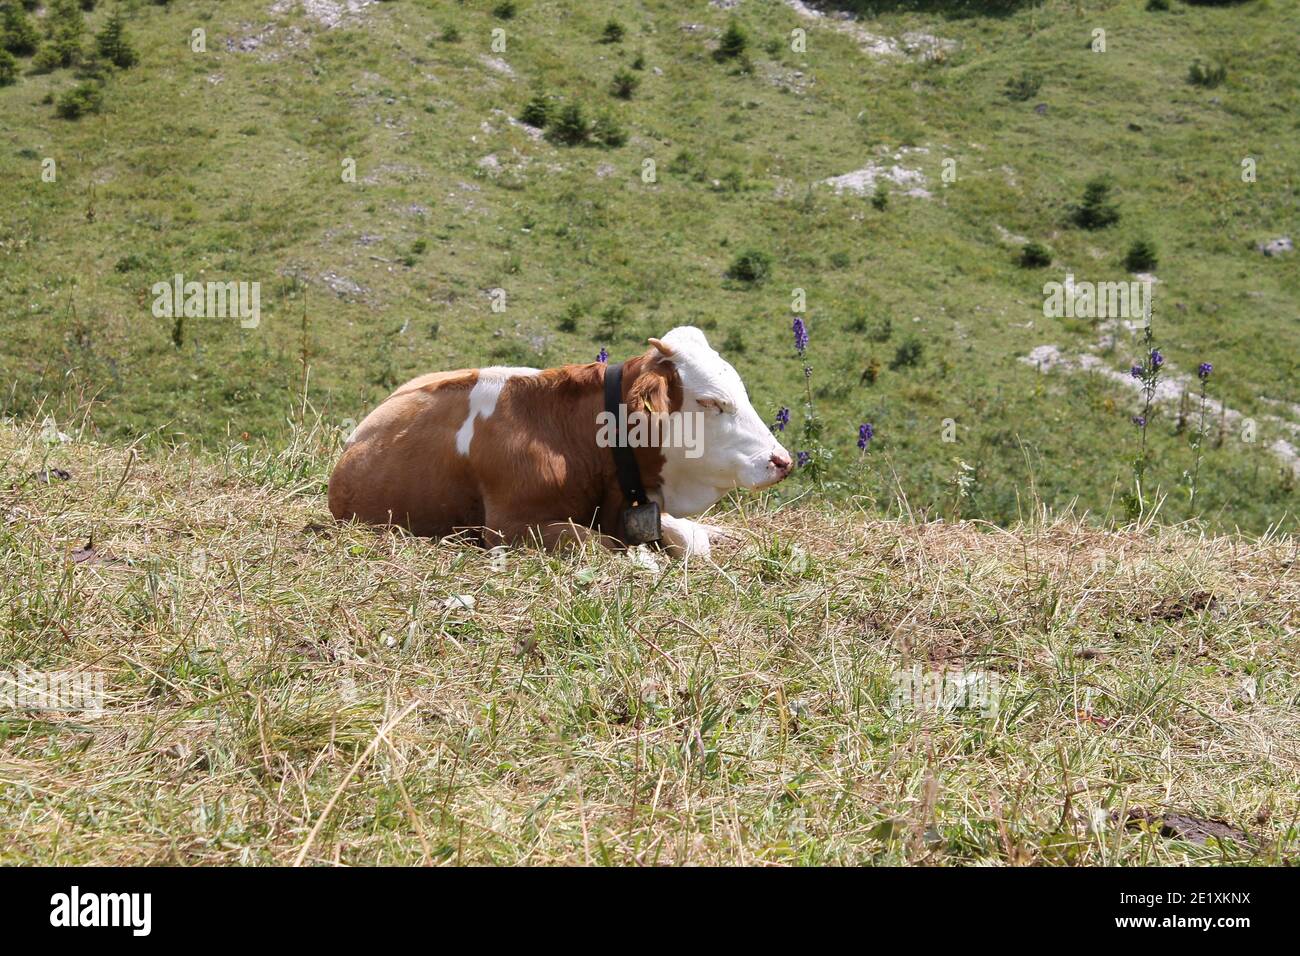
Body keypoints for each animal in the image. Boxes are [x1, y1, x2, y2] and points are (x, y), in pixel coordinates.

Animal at [327, 327, 790, 556]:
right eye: (712, 402)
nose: (781, 460)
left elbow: (689, 538)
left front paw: (710, 533)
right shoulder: (508, 528)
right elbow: (593, 543)